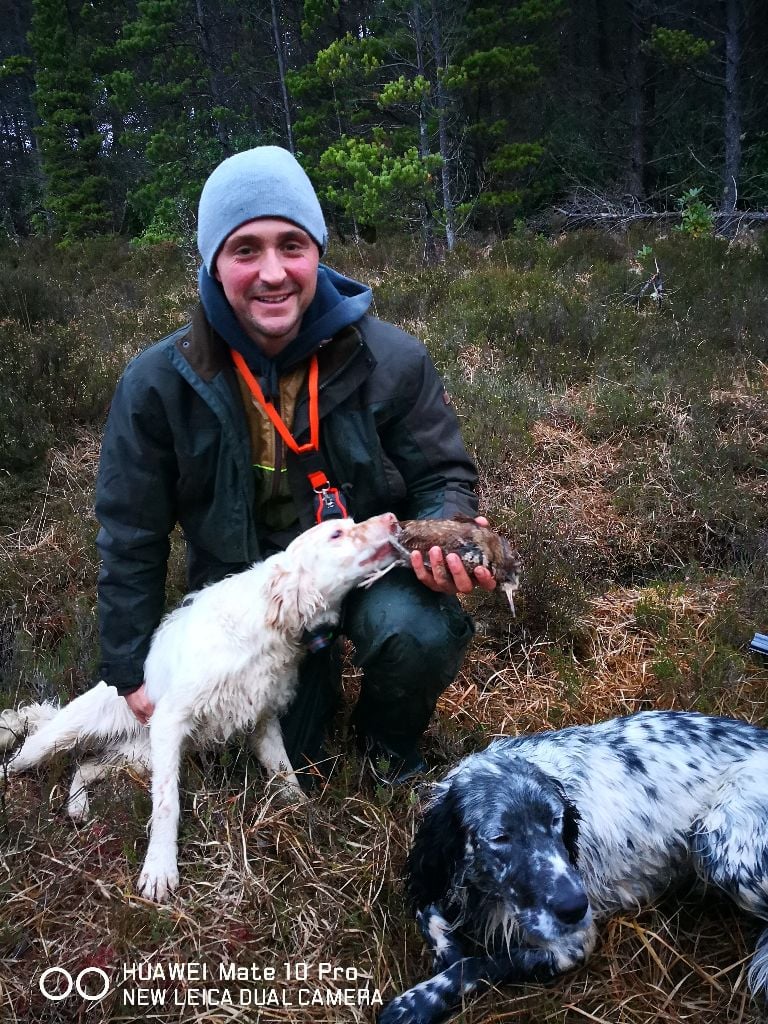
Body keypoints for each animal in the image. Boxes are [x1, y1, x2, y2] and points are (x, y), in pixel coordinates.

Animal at [0, 513, 400, 901]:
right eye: (336, 534)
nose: (394, 519)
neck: (262, 631)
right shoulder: (170, 721)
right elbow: (167, 804)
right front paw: (160, 870)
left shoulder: (264, 722)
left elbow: (285, 773)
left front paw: (306, 814)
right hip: (59, 740)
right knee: (23, 756)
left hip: (136, 758)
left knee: (84, 767)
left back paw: (78, 808)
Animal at [380, 710, 768, 1024]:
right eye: (500, 837)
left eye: (556, 820)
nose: (574, 907)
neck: (486, 890)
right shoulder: (431, 873)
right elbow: (428, 914)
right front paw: (447, 950)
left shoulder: (572, 946)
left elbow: (477, 964)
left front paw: (416, 1002)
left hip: (718, 844)